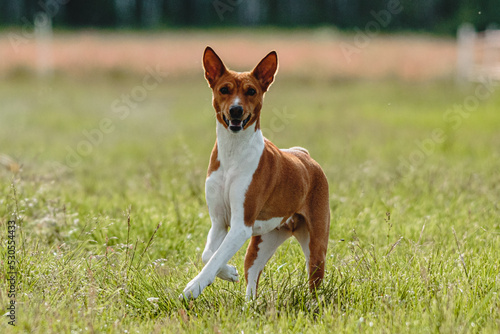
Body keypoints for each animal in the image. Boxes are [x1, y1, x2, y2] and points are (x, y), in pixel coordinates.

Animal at [182, 47, 330, 300]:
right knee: (252, 280)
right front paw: (228, 273)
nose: (236, 110)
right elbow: (209, 254)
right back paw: (248, 303)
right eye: (224, 89)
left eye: (251, 91)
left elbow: (215, 257)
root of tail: (304, 155)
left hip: (316, 248)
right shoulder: (220, 222)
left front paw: (194, 286)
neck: (233, 154)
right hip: (261, 244)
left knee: (314, 285)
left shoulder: (241, 225)